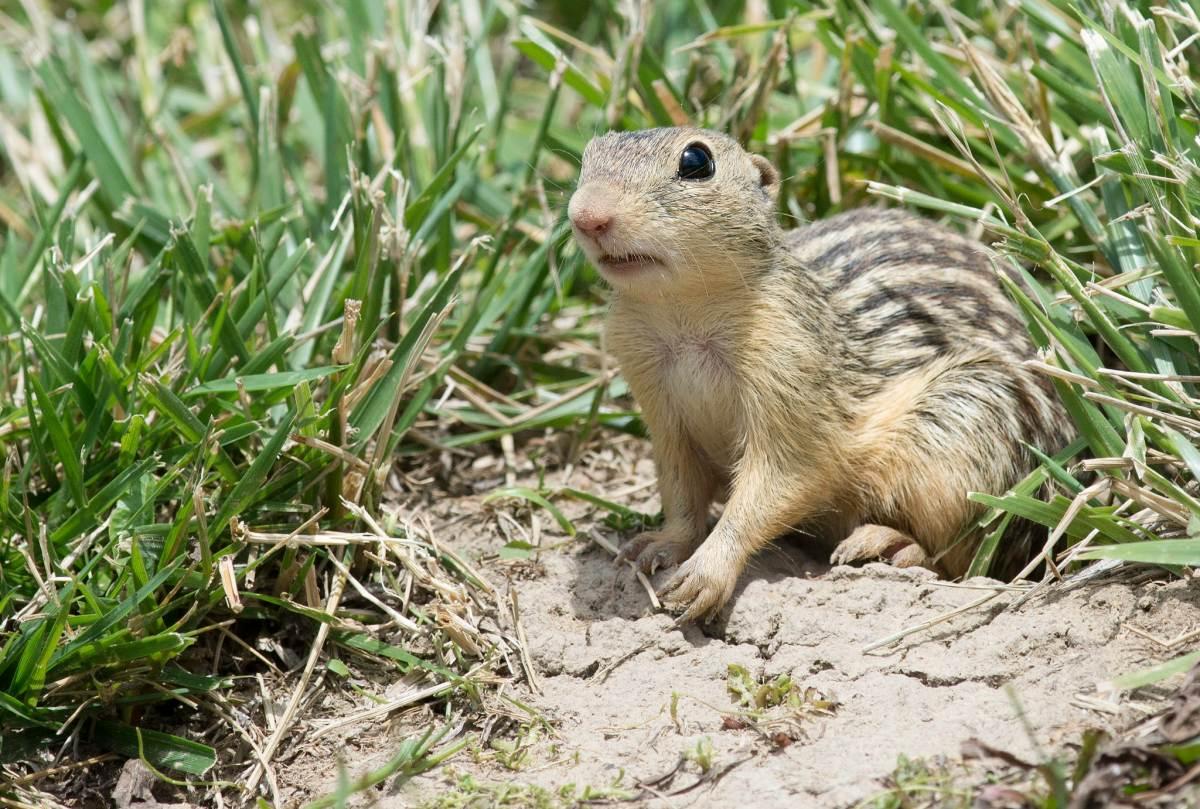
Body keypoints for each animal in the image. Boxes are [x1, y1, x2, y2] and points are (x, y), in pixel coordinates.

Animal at [566, 126, 1075, 619]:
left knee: (960, 559)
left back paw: (887, 543)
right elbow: (680, 494)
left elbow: (779, 480)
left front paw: (705, 574)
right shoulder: (661, 408)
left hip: (958, 436)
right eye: (589, 153)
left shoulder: (791, 373)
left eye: (697, 161)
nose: (587, 216)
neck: (682, 319)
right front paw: (656, 546)